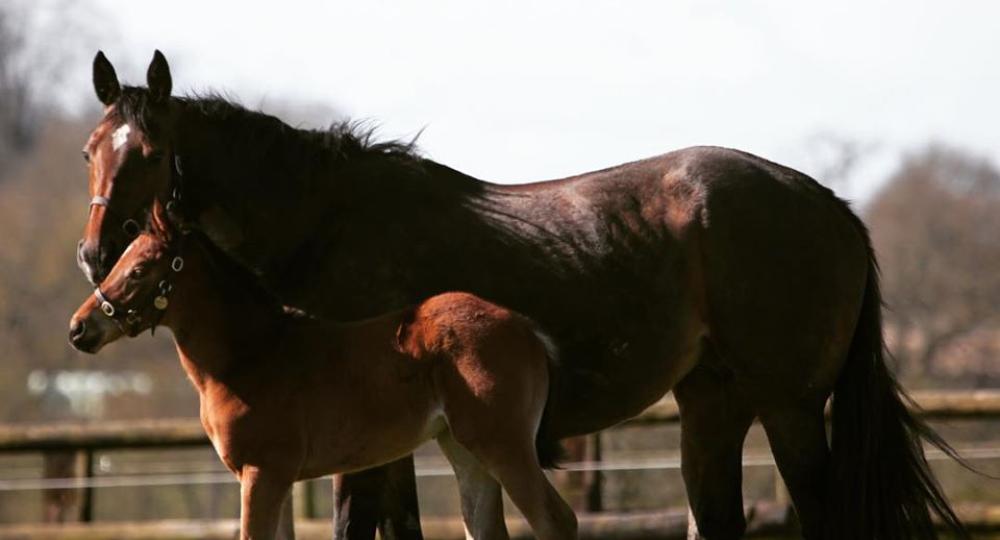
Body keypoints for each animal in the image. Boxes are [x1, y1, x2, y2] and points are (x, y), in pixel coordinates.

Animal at [66, 218, 576, 536]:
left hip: (503, 445)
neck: (253, 356)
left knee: (557, 521)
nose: (79, 328)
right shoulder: (273, 477)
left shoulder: (263, 472)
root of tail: (526, 327)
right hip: (464, 449)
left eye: (137, 270)